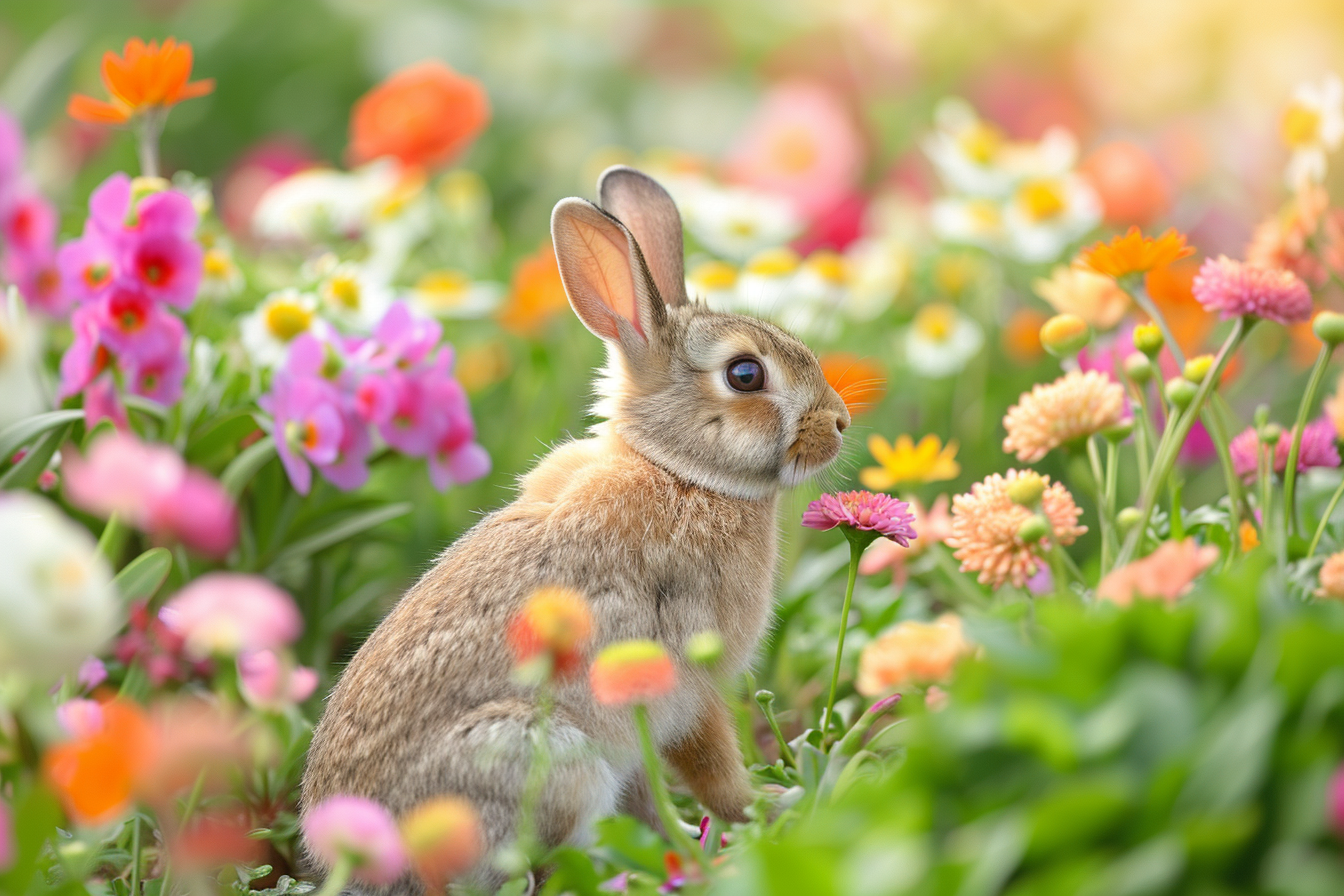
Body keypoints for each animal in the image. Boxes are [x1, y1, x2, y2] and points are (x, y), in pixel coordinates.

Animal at [300, 166, 851, 894]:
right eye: (745, 374)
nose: (840, 422)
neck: (681, 473)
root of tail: (366, 857)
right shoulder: (689, 685)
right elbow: (711, 766)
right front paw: (763, 809)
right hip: (552, 759)